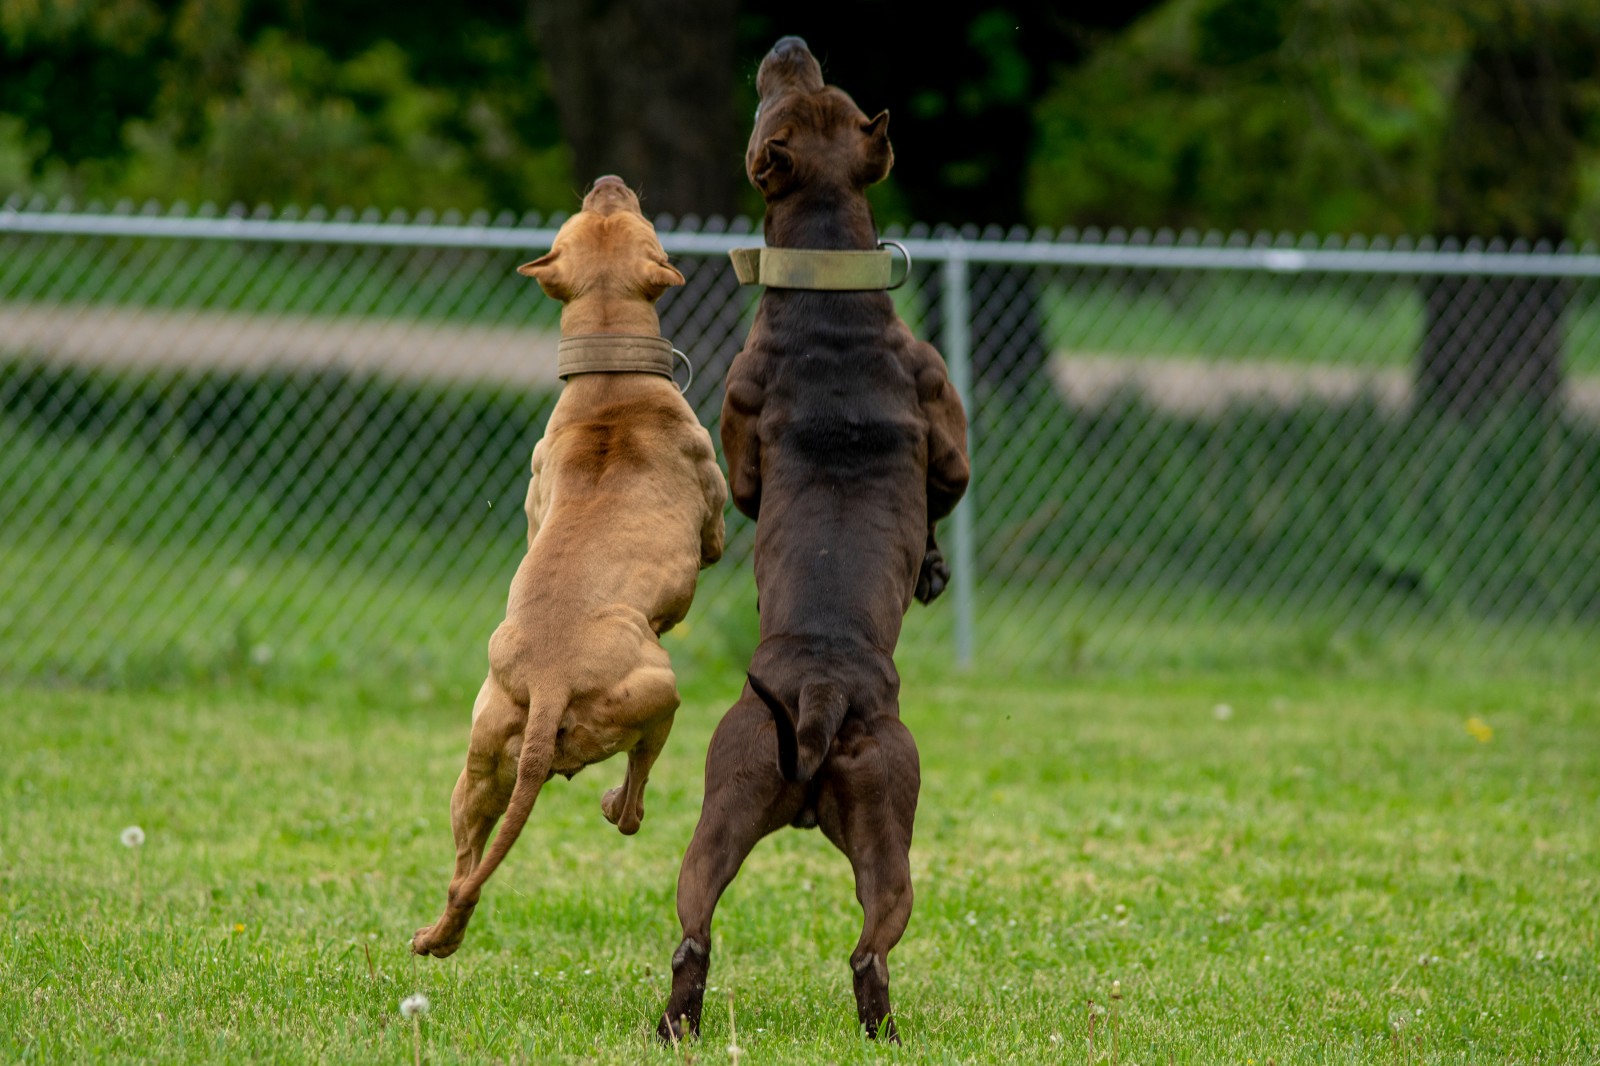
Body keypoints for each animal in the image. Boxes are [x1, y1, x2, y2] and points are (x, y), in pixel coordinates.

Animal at [409, 174, 729, 953]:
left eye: (604, 214)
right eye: (642, 223)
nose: (608, 181)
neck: (611, 379)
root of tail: (550, 681)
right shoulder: (714, 522)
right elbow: (717, 538)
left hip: (479, 765)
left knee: (465, 869)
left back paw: (439, 937)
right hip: (659, 693)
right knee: (636, 788)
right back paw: (619, 803)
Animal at [656, 39, 966, 1037]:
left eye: (819, 91)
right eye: (786, 99)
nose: (789, 45)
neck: (831, 286)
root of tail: (823, 693)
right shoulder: (948, 441)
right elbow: (946, 492)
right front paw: (934, 567)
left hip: (727, 807)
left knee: (697, 930)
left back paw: (676, 1023)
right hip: (889, 807)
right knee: (871, 948)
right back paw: (885, 1030)